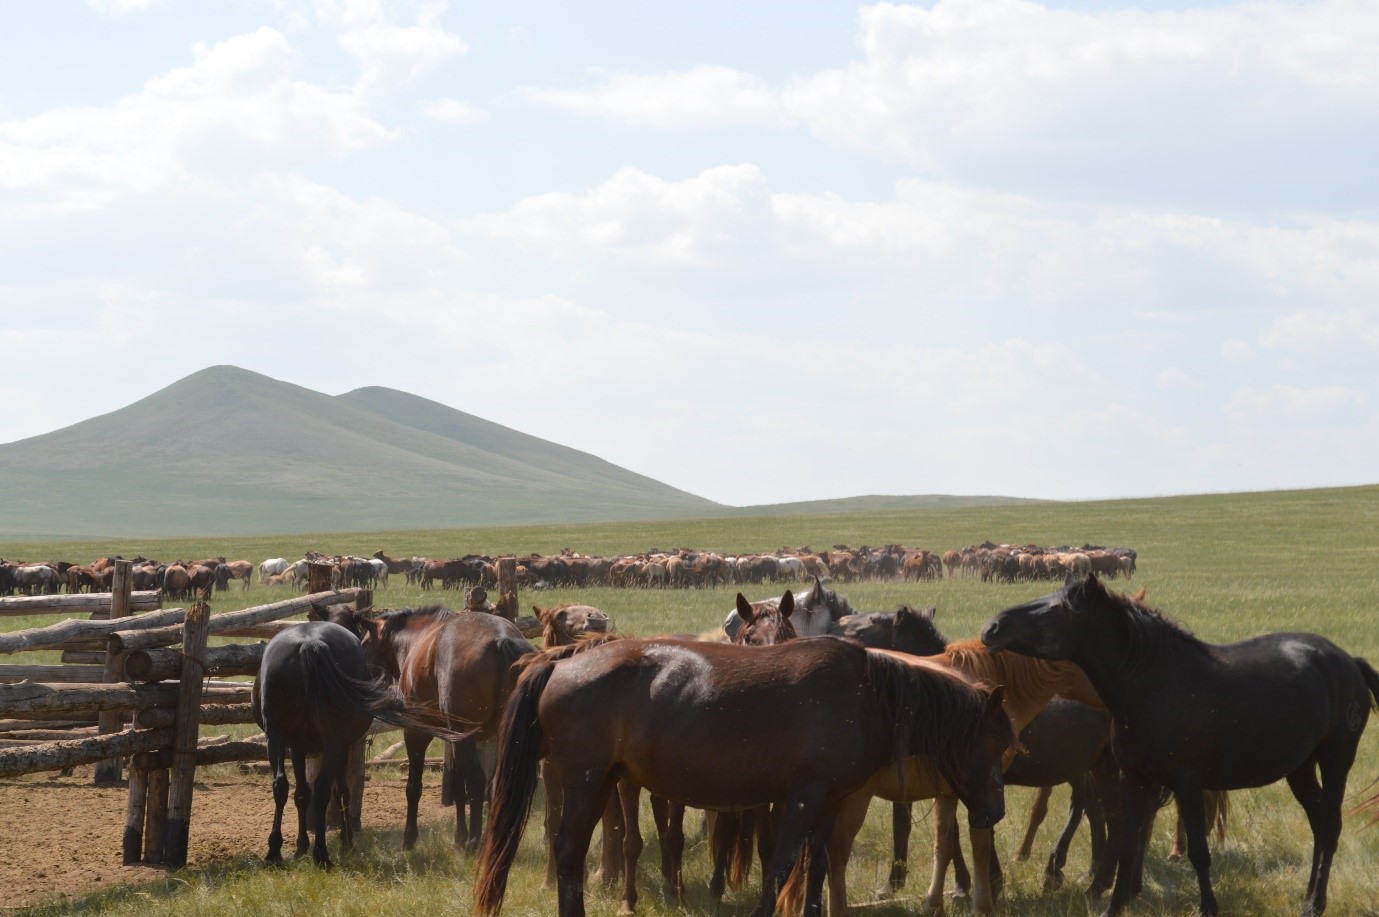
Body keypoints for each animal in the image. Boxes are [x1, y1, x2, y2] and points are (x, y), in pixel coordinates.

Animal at [251, 620, 469, 867]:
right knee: (322, 787)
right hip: (330, 742)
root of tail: (310, 644)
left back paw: (275, 852)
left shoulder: (298, 746)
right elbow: (340, 791)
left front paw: (302, 845)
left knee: (281, 786)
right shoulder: (335, 746)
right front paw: (343, 841)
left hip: (277, 737)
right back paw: (321, 854)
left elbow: (303, 794)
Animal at [474, 635, 1014, 917]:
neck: (866, 697)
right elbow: (781, 864)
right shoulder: (803, 799)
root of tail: (560, 661)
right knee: (568, 854)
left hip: (606, 780)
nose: (995, 812)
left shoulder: (829, 802)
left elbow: (816, 867)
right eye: (997, 744)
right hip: (586, 783)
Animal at [981, 573, 1379, 916]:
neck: (1155, 685)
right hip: (1300, 768)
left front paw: (1208, 908)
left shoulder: (1187, 783)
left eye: (1060, 609)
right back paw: (1309, 899)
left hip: (1336, 759)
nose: (992, 628)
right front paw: (1115, 905)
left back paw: (1314, 904)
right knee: (1319, 825)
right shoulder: (1134, 778)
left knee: (1330, 827)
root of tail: (1349, 662)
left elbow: (1199, 851)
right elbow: (1126, 844)